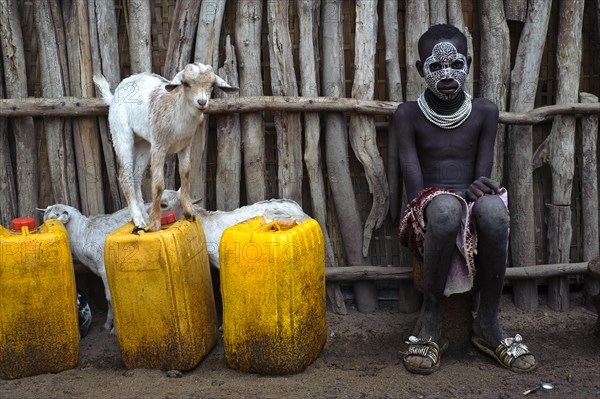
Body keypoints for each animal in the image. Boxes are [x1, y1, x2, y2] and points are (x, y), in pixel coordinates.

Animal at [92, 62, 238, 231]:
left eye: (212, 85)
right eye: (186, 83)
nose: (201, 102)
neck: (178, 114)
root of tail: (114, 95)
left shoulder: (185, 145)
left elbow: (185, 174)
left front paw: (189, 212)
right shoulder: (159, 146)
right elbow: (158, 185)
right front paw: (155, 223)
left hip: (144, 143)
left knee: (136, 176)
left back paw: (144, 216)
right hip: (121, 133)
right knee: (125, 175)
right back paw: (139, 220)